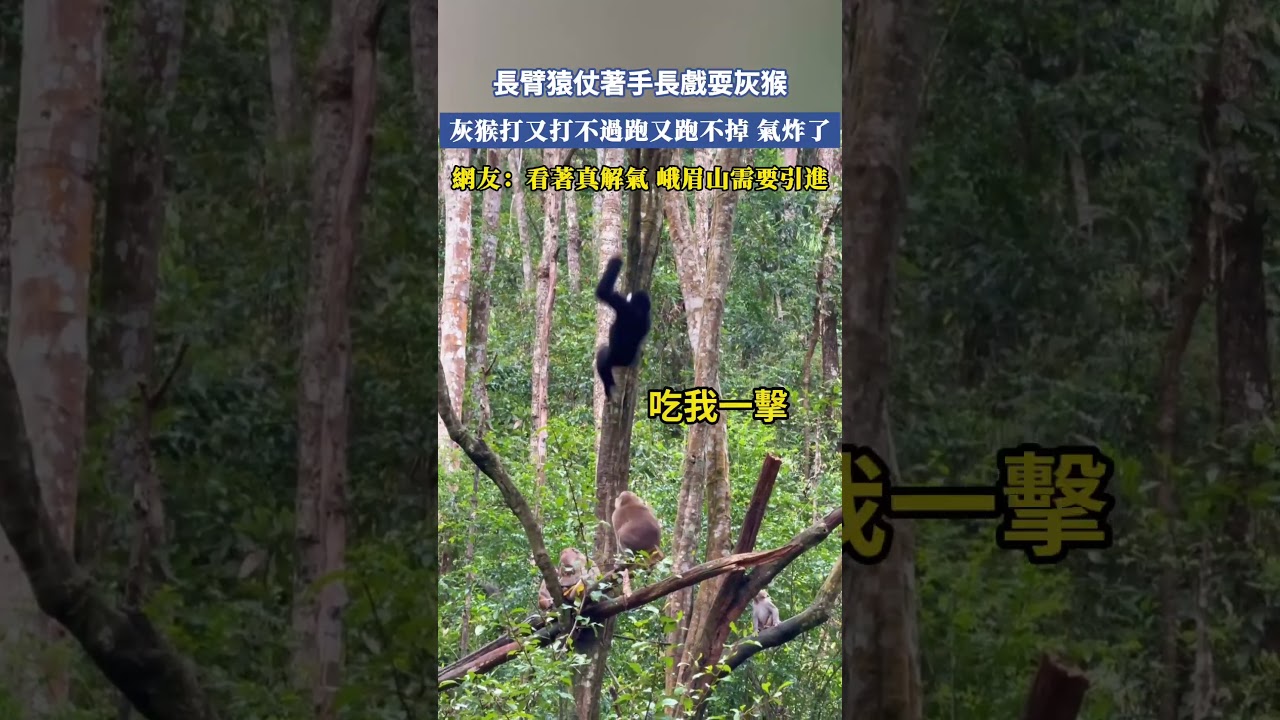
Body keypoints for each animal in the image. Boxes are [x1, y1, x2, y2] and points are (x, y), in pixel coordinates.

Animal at [594, 257, 651, 400]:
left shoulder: (622, 305)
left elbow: (603, 292)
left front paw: (617, 260)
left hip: (612, 358)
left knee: (601, 358)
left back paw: (608, 388)